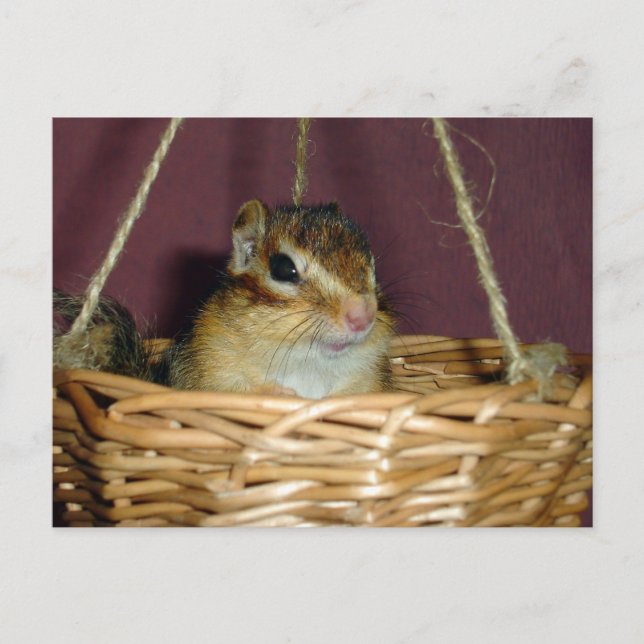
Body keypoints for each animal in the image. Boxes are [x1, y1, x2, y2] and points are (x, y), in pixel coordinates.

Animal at [54, 200, 395, 398]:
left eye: (373, 265)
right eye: (284, 268)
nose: (362, 316)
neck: (308, 366)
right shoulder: (211, 368)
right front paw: (279, 394)